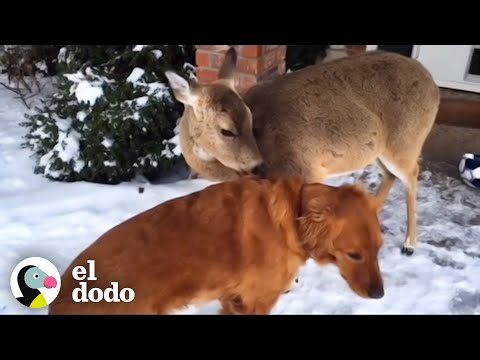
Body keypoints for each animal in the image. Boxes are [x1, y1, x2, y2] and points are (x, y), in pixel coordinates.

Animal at [48, 177, 384, 316]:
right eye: (354, 255)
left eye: (379, 249)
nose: (379, 295)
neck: (293, 212)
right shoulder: (255, 303)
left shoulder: (231, 300)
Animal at [166, 48, 442, 256]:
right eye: (227, 130)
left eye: (250, 118)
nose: (258, 165)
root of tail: (433, 84)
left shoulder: (305, 170)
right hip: (378, 151)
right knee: (392, 175)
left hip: (406, 141)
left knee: (412, 175)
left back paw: (409, 244)